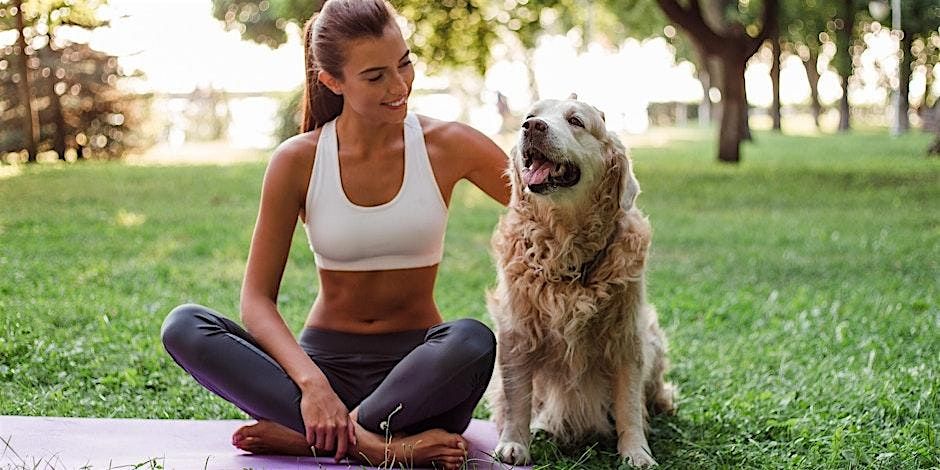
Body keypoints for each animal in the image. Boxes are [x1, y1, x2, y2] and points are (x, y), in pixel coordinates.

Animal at [484, 94, 676, 466]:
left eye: (575, 121)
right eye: (531, 115)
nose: (532, 127)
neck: (565, 249)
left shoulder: (627, 336)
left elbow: (629, 404)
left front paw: (636, 451)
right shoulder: (516, 333)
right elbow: (517, 398)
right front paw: (514, 443)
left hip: (653, 337)